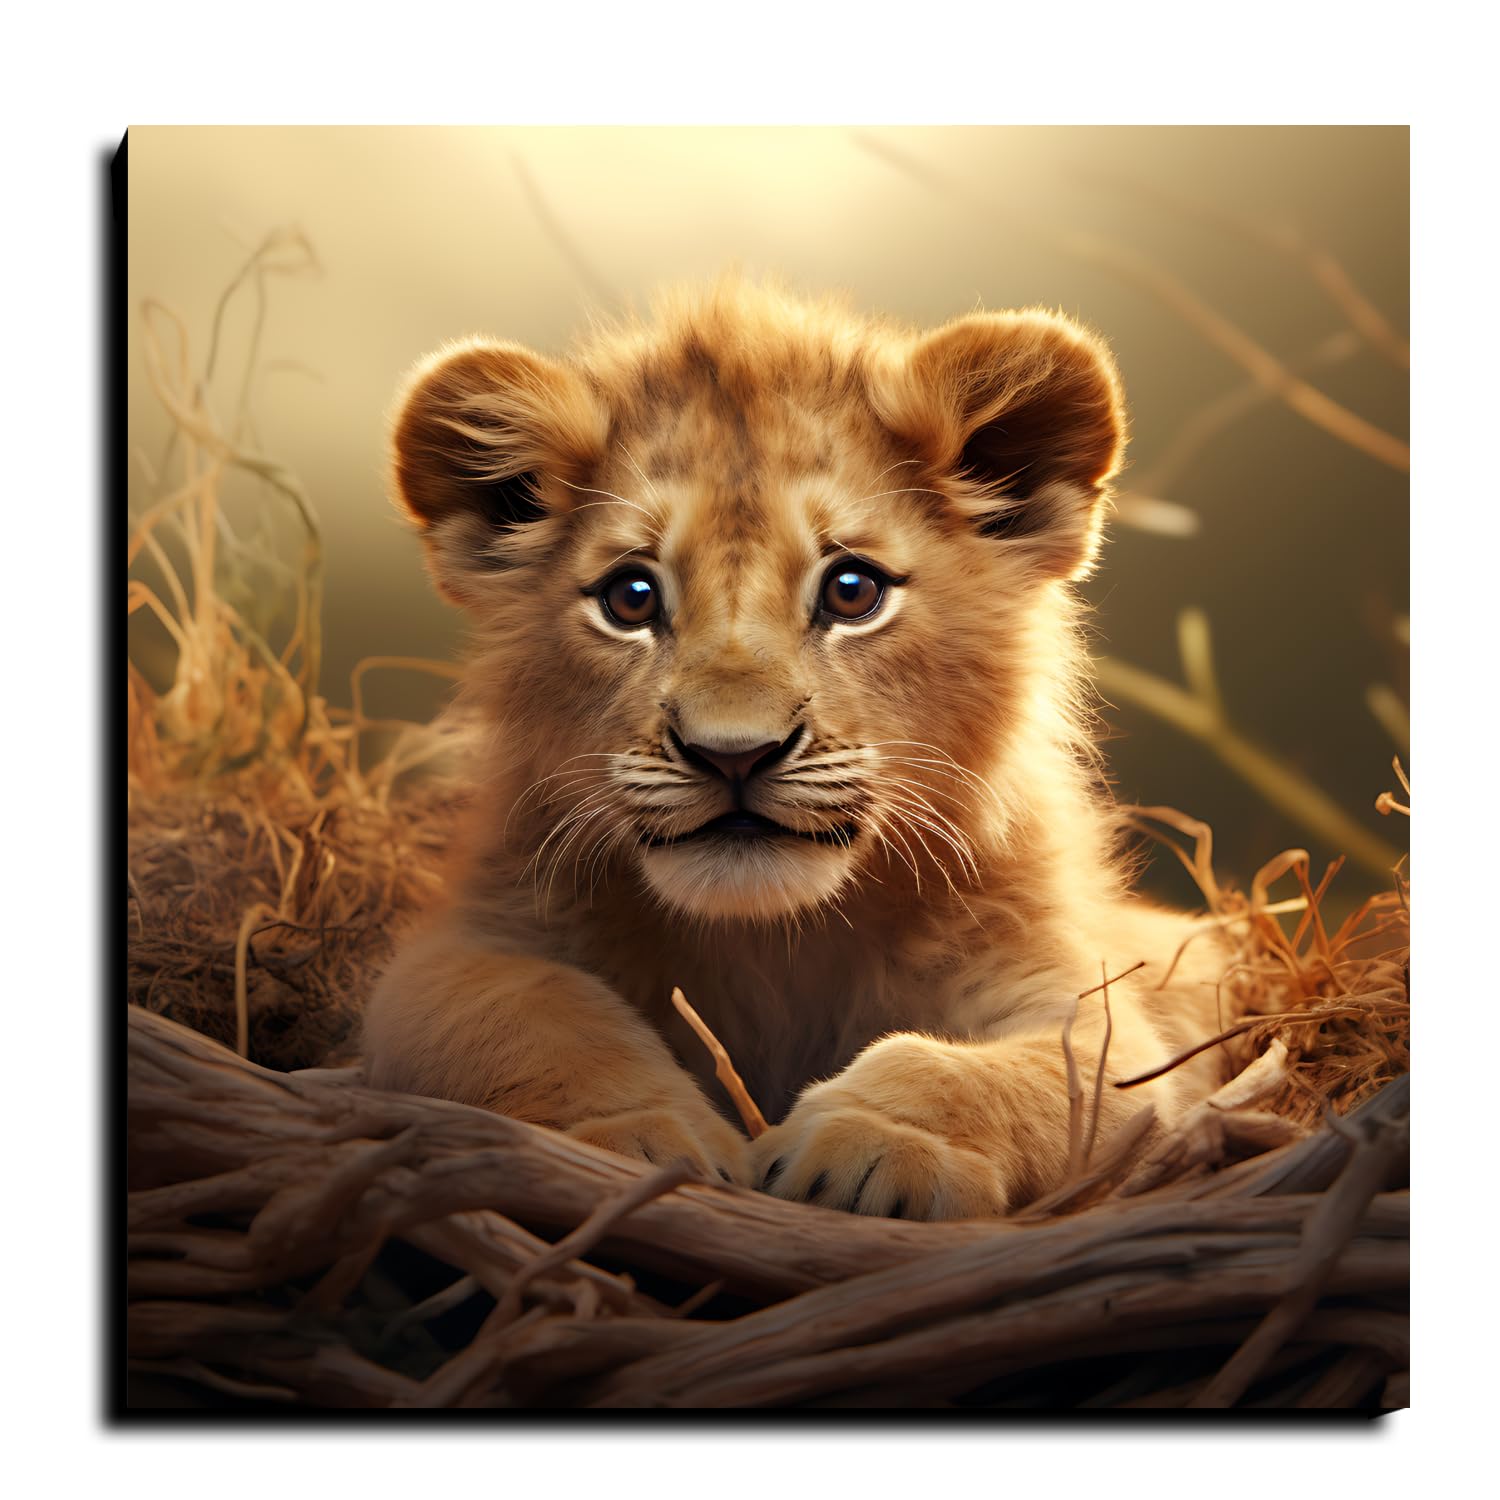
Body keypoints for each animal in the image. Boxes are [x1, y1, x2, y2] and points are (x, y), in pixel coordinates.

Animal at [362, 277, 1227, 1219]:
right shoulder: (455, 956)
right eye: (631, 598)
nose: (733, 754)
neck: (773, 941)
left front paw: (872, 1143)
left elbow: (1001, 1072)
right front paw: (641, 1138)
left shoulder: (1091, 1006)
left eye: (852, 591)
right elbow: (532, 1015)